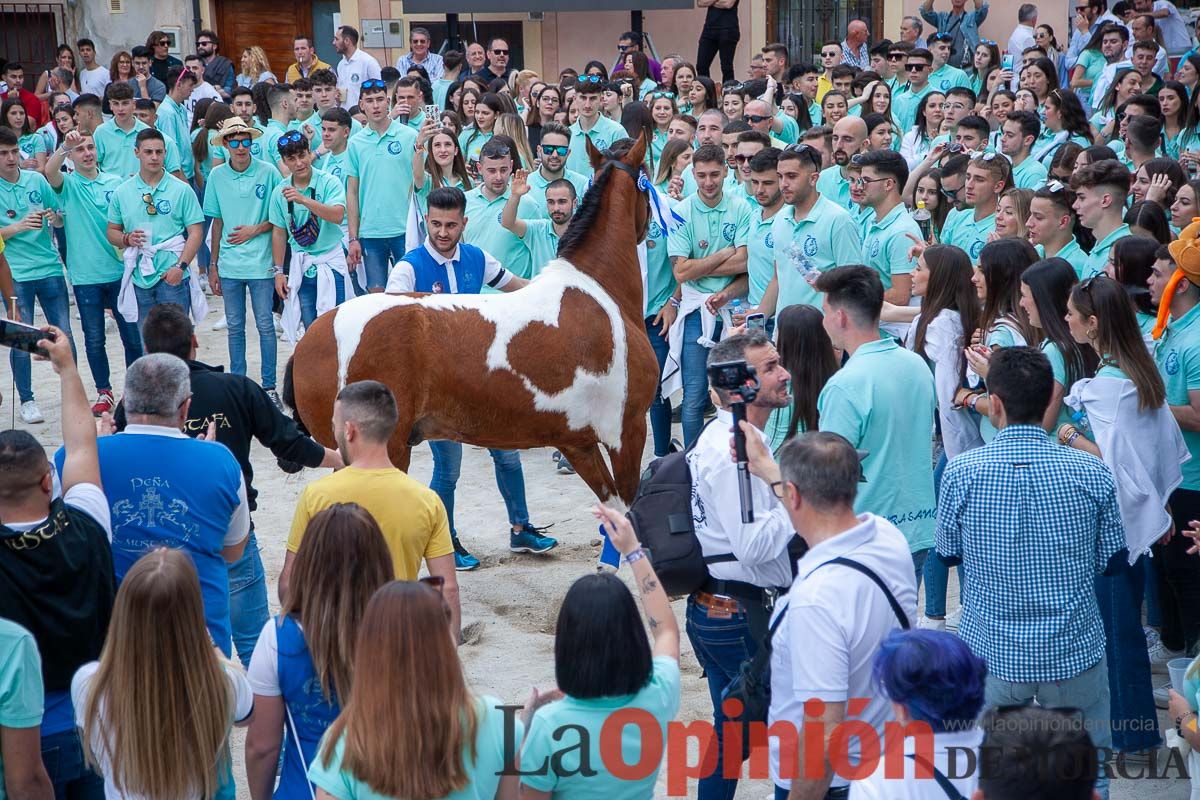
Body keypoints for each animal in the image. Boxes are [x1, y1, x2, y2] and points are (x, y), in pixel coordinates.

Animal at [282, 134, 657, 503]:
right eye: (646, 178)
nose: (649, 228)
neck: (598, 289)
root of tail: (310, 339)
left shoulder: (578, 443)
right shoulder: (627, 431)